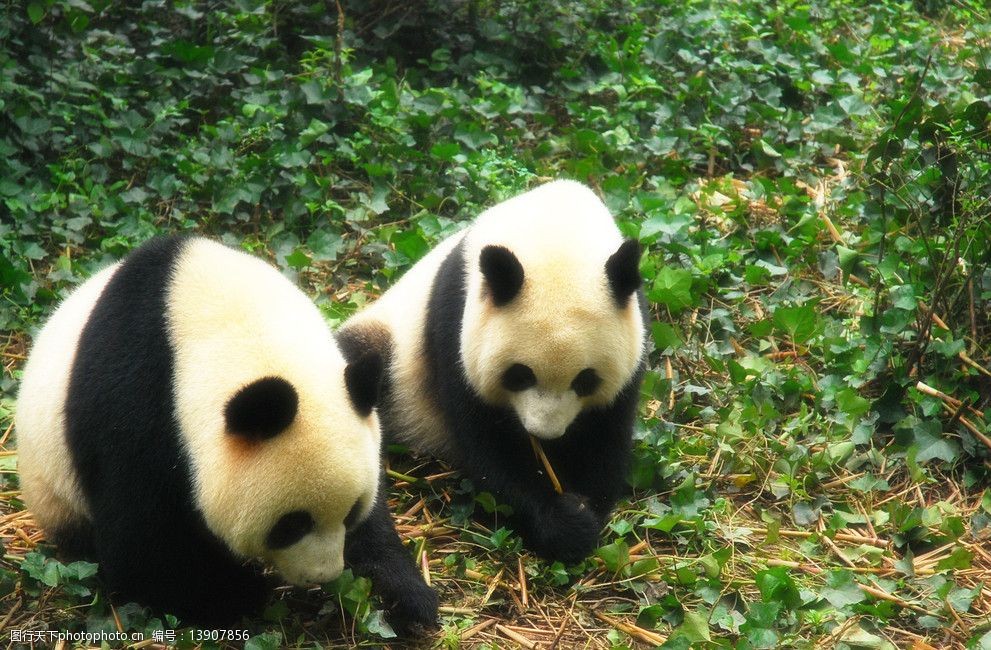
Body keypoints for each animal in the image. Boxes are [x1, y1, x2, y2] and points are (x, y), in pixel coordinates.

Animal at [14, 234, 434, 628]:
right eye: (291, 524)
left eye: (350, 513)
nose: (323, 574)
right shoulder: (136, 406)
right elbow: (141, 547)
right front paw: (241, 592)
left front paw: (405, 595)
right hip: (53, 487)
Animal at [340, 178, 652, 560]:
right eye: (520, 374)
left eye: (585, 380)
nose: (545, 434)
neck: (553, 229)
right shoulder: (456, 321)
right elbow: (488, 446)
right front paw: (566, 524)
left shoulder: (634, 332)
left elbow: (607, 436)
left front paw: (584, 510)